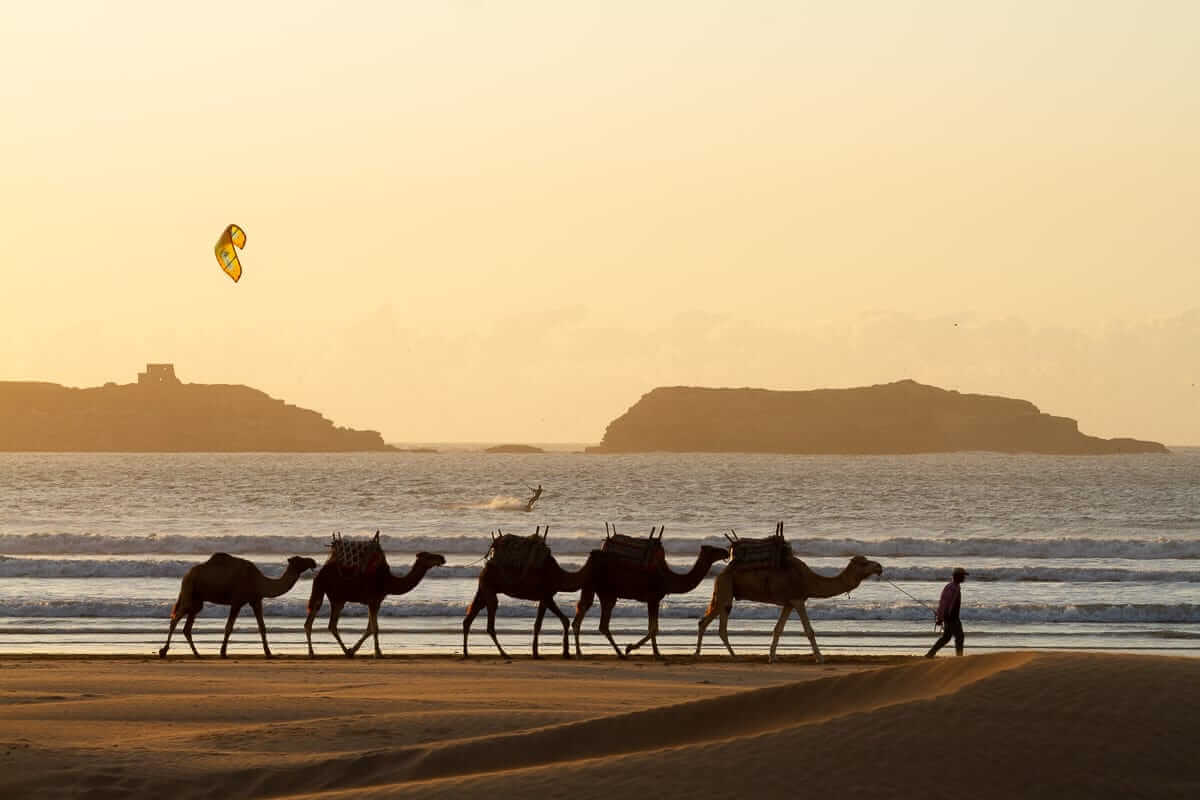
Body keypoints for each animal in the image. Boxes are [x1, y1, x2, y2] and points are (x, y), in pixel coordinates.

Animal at [160, 554, 319, 662]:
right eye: (300, 560)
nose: (313, 561)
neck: (259, 581)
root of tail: (186, 575)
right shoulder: (237, 601)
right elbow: (229, 627)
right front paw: (223, 652)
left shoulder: (256, 600)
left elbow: (262, 627)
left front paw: (268, 653)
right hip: (190, 592)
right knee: (175, 619)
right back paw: (164, 651)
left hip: (197, 601)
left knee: (187, 627)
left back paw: (197, 654)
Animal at [304, 551, 446, 657]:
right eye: (429, 556)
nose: (442, 558)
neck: (389, 582)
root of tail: (319, 575)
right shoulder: (373, 600)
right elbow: (374, 628)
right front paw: (377, 653)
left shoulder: (376, 602)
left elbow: (369, 628)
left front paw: (355, 650)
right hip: (335, 597)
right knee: (326, 623)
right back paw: (318, 652)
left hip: (331, 595)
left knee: (318, 621)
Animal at [460, 525, 588, 657]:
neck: (559, 575)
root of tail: (485, 567)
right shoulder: (547, 595)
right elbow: (564, 620)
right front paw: (565, 652)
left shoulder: (544, 598)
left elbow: (538, 625)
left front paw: (536, 653)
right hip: (489, 588)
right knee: (489, 623)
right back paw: (504, 653)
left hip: (484, 589)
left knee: (469, 618)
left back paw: (466, 652)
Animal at [573, 532, 729, 657]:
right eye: (714, 550)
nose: (726, 551)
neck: (669, 578)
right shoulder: (654, 598)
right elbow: (654, 629)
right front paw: (630, 648)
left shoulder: (653, 600)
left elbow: (653, 628)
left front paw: (655, 652)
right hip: (607, 592)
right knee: (600, 622)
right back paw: (618, 653)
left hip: (594, 588)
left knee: (584, 610)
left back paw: (583, 651)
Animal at [696, 556, 883, 662]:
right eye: (864, 563)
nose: (879, 567)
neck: (809, 581)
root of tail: (720, 574)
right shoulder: (798, 599)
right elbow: (809, 631)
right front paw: (820, 658)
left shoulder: (788, 603)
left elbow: (778, 629)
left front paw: (772, 657)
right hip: (725, 591)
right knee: (708, 622)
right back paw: (708, 654)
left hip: (726, 593)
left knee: (715, 624)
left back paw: (725, 655)